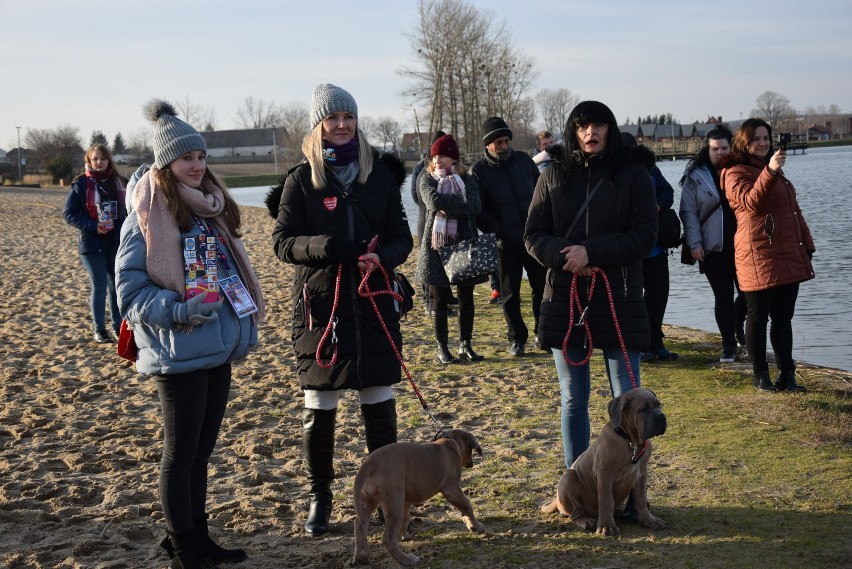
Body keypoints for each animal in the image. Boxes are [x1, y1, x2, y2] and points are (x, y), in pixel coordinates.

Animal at [352, 428, 486, 564]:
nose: (471, 464)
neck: (450, 441)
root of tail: (369, 463)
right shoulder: (452, 489)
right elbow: (467, 505)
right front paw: (476, 526)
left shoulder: (405, 501)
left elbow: (405, 519)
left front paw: (405, 536)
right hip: (393, 503)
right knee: (387, 539)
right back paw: (407, 559)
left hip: (370, 500)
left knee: (360, 524)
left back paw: (361, 556)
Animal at [544, 384, 668, 536]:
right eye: (643, 409)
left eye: (658, 405)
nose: (662, 417)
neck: (630, 441)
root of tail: (556, 500)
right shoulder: (604, 474)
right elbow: (606, 501)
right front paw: (607, 526)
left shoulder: (642, 474)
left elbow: (641, 499)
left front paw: (649, 520)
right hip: (569, 477)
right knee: (575, 513)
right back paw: (587, 521)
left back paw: (619, 513)